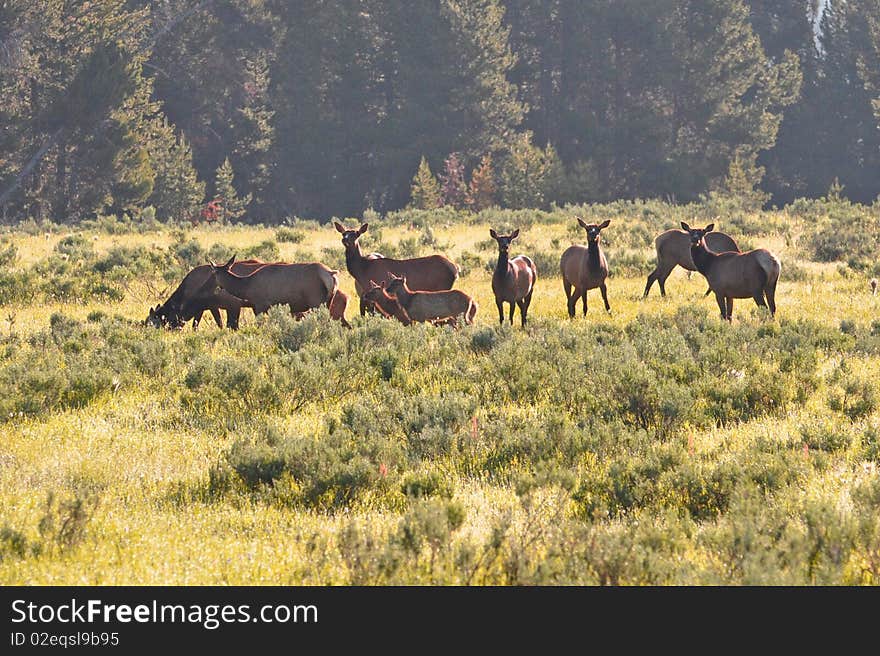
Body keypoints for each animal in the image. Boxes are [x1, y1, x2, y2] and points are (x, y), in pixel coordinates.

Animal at [332, 222, 460, 316]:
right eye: (343, 233)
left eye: (356, 234)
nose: (345, 240)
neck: (363, 271)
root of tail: (455, 269)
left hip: (442, 286)